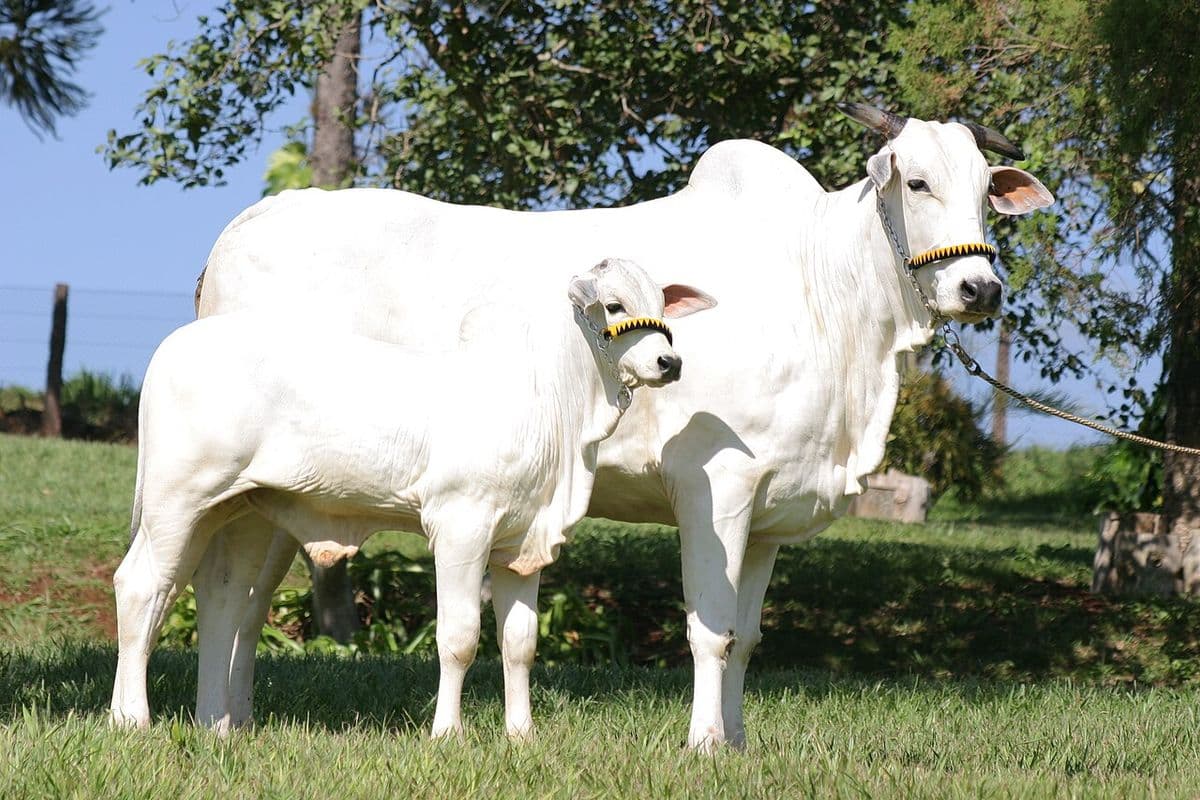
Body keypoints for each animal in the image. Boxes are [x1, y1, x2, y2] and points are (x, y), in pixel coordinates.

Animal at [108, 258, 716, 738]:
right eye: (613, 304)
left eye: (661, 303)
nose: (669, 363)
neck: (554, 409)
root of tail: (175, 345)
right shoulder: (461, 524)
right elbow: (459, 636)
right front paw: (448, 733)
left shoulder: (523, 540)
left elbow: (519, 641)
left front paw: (521, 734)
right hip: (176, 498)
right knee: (141, 585)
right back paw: (132, 719)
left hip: (239, 510)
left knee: (219, 597)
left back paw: (215, 725)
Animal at [193, 104, 1054, 750]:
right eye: (917, 180)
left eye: (987, 190)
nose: (979, 288)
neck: (829, 307)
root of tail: (244, 227)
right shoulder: (716, 485)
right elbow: (710, 628)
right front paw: (703, 743)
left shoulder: (773, 513)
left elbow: (749, 636)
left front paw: (737, 742)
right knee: (226, 591)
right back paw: (219, 722)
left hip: (272, 496)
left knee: (244, 597)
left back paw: (233, 723)